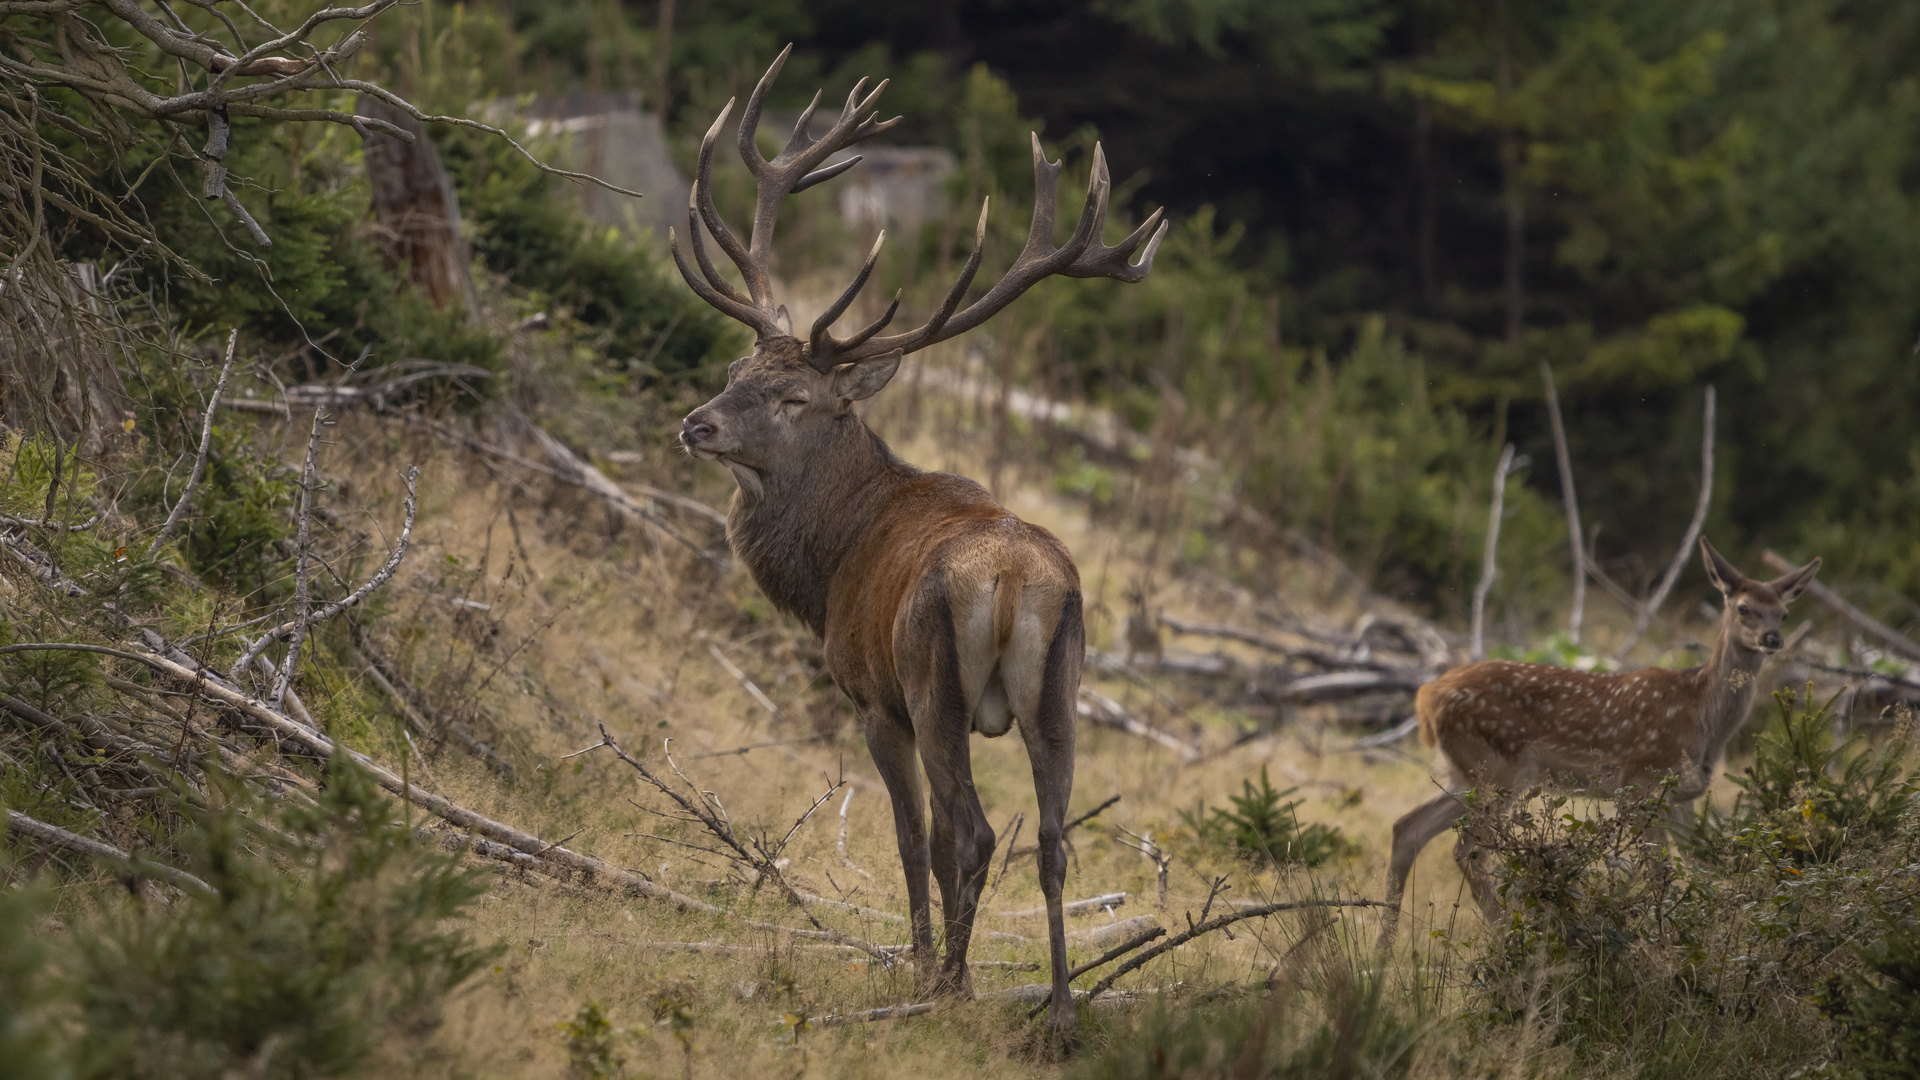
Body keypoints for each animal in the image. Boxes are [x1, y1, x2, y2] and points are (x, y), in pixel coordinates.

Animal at [668, 44, 1159, 1037]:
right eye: (737, 366)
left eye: (796, 397)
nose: (698, 424)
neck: (828, 565)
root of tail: (1014, 583)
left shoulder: (871, 694)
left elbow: (908, 837)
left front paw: (919, 960)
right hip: (1061, 688)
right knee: (1051, 839)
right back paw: (1059, 1009)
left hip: (934, 682)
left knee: (970, 832)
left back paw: (951, 985)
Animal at [1382, 538, 1812, 941]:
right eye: (1743, 608)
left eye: (1785, 613)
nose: (1773, 638)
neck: (1701, 717)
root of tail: (1426, 698)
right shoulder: (1639, 781)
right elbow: (1661, 870)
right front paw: (1666, 937)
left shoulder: (1682, 796)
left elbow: (1701, 865)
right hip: (1499, 768)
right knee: (1466, 850)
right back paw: (1505, 933)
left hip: (1466, 774)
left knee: (1408, 827)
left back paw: (1384, 949)